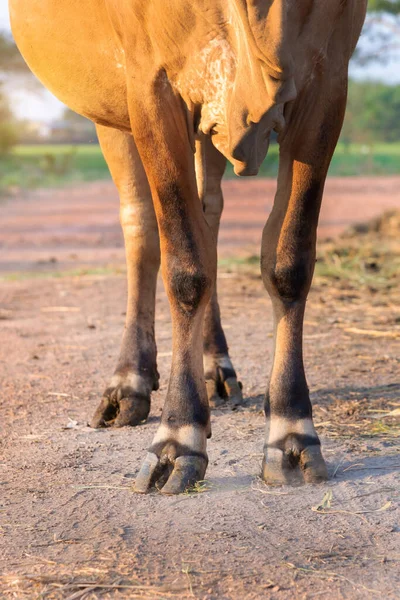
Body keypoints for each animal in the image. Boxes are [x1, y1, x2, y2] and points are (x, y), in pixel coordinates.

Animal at [9, 0, 368, 494]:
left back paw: (215, 367)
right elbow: (185, 266)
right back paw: (130, 382)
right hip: (111, 111)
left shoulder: (327, 78)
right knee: (141, 223)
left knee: (208, 212)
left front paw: (291, 432)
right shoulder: (150, 83)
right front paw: (178, 436)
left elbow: (288, 261)